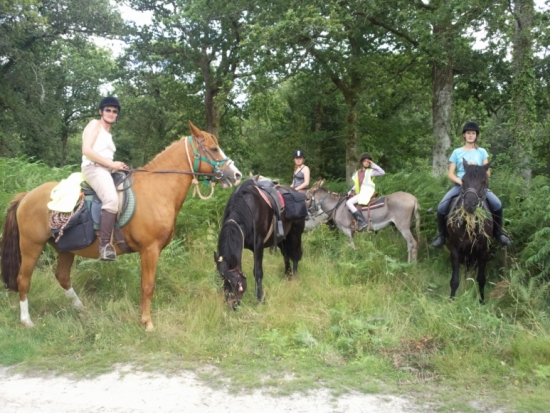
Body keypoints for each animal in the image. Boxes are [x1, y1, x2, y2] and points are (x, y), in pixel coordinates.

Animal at [0, 120, 242, 330]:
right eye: (214, 148)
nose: (236, 174)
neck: (158, 189)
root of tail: (26, 196)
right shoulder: (150, 250)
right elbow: (147, 286)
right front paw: (147, 322)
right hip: (32, 247)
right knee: (23, 279)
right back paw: (27, 321)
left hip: (65, 248)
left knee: (62, 277)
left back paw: (82, 310)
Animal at [213, 177, 306, 306]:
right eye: (221, 279)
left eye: (236, 283)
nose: (231, 305)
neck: (247, 208)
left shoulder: (258, 245)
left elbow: (258, 272)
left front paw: (260, 298)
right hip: (282, 239)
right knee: (286, 256)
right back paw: (287, 275)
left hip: (295, 234)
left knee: (295, 254)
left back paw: (294, 277)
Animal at [450, 159, 494, 302]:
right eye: (463, 180)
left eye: (484, 181)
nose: (469, 204)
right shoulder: (455, 250)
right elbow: (454, 280)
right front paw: (451, 300)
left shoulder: (483, 251)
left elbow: (481, 279)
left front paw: (482, 301)